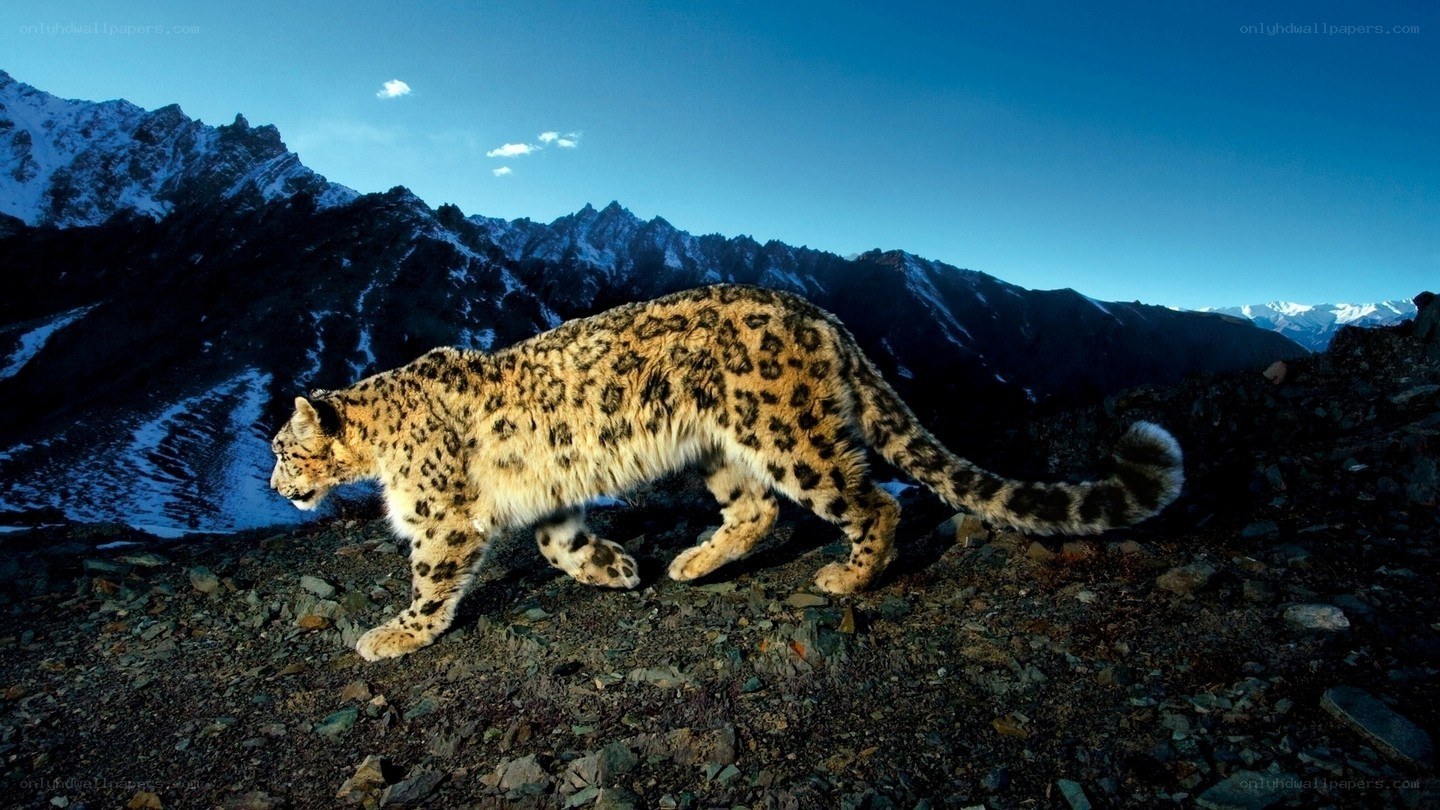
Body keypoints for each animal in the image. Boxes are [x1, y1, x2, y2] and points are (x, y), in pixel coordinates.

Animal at [269, 284, 1183, 660]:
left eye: (280, 448)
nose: (276, 486)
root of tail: (822, 315)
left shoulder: (443, 518)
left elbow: (431, 581)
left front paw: (392, 635)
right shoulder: (548, 499)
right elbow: (561, 544)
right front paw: (617, 569)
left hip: (789, 433)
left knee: (868, 500)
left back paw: (847, 577)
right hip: (720, 449)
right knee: (757, 511)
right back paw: (691, 561)